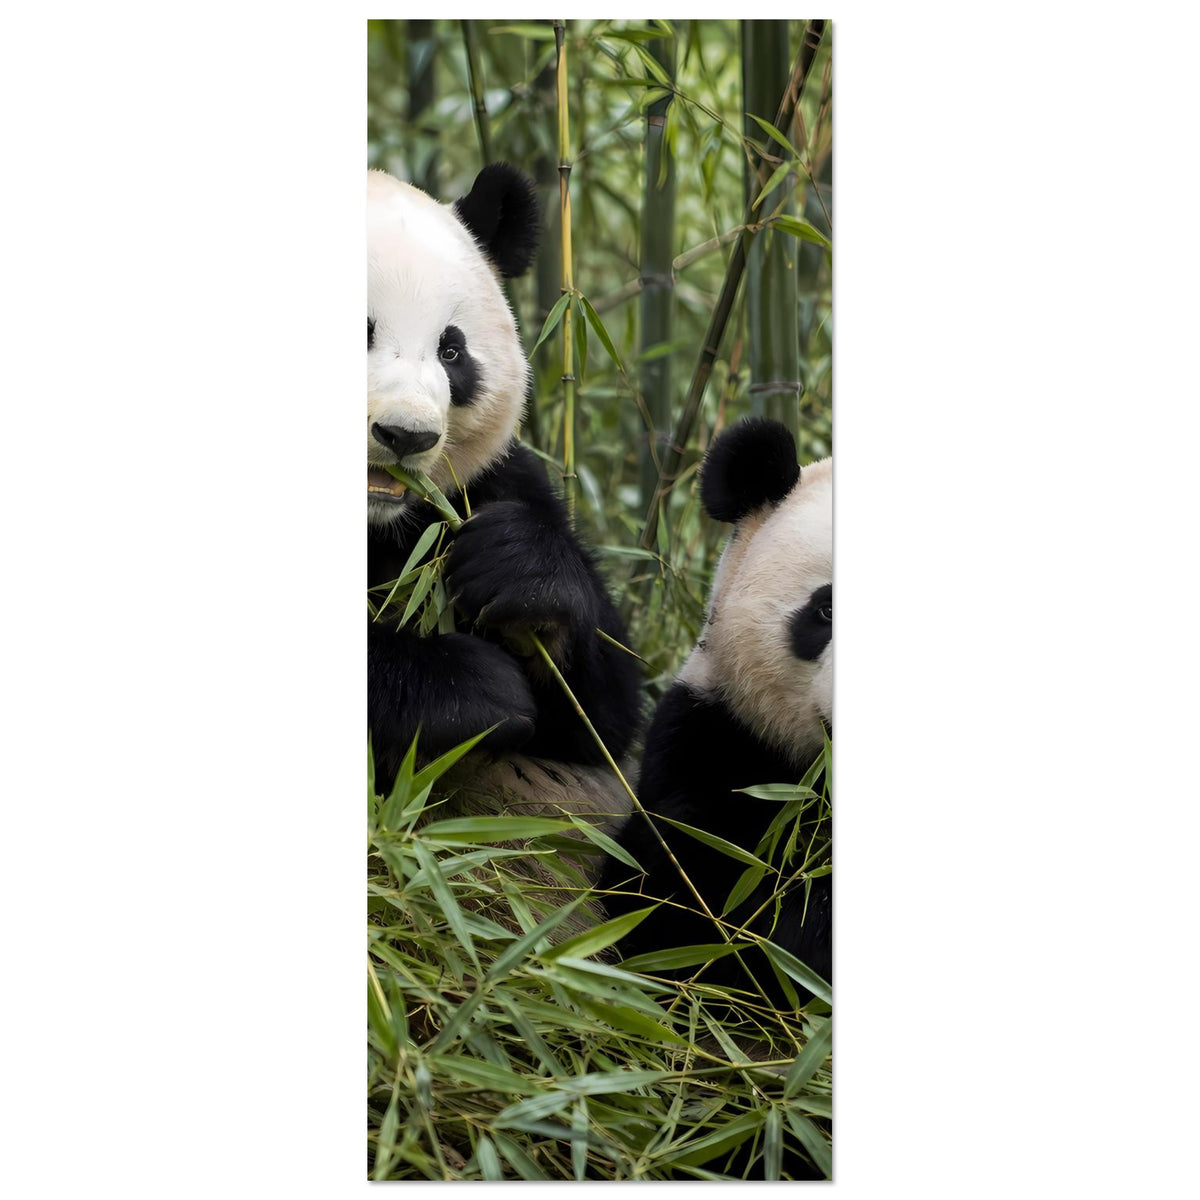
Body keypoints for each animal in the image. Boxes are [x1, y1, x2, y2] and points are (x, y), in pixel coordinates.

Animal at [367, 164, 641, 847]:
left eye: (451, 351)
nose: (406, 436)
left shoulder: (482, 485)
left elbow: (604, 719)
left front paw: (519, 573)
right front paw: (471, 690)